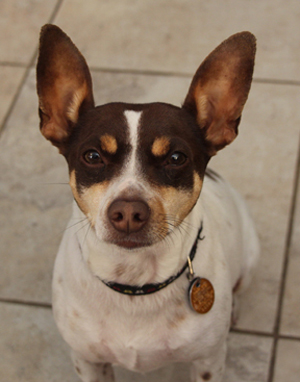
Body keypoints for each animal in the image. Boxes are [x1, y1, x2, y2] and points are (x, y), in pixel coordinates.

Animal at [36, 24, 258, 382]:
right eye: (92, 156)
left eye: (176, 158)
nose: (128, 212)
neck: (134, 282)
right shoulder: (88, 361)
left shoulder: (208, 363)